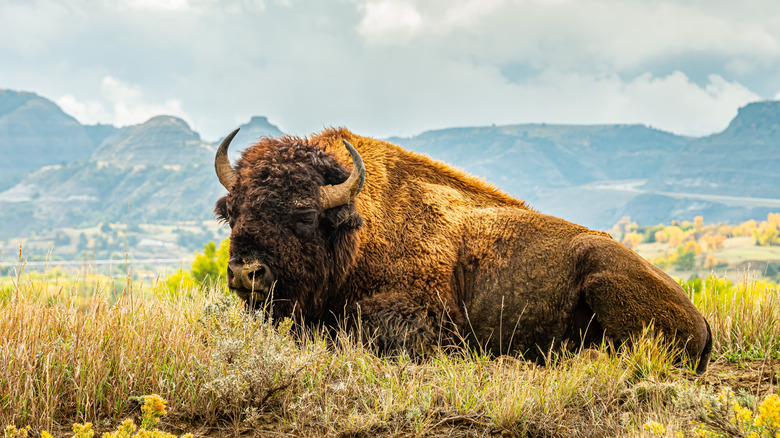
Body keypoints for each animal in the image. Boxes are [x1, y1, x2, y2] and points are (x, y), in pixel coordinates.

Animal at [213, 127, 712, 373]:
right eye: (232, 212)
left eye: (302, 214)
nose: (244, 273)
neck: (359, 226)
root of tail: (702, 318)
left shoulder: (419, 318)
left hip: (603, 277)